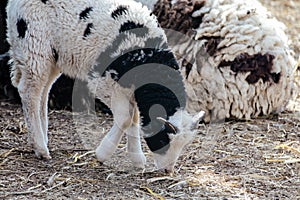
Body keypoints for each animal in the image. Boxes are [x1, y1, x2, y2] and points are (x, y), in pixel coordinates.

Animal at [6, 0, 206, 172]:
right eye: (164, 140)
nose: (167, 171)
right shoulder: (102, 80)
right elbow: (125, 118)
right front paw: (103, 153)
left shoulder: (131, 89)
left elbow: (134, 117)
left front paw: (137, 158)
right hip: (34, 43)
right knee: (29, 91)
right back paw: (40, 147)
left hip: (52, 55)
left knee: (43, 90)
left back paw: (41, 138)